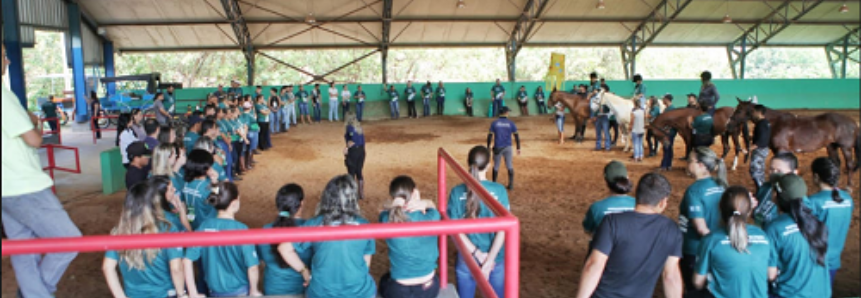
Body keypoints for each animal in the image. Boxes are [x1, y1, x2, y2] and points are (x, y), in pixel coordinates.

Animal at [724, 99, 860, 185]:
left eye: (739, 110)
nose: (728, 125)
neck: (775, 122)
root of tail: (853, 123)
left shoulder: (782, 149)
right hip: (831, 146)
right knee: (836, 163)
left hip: (846, 148)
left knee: (849, 165)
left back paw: (849, 186)